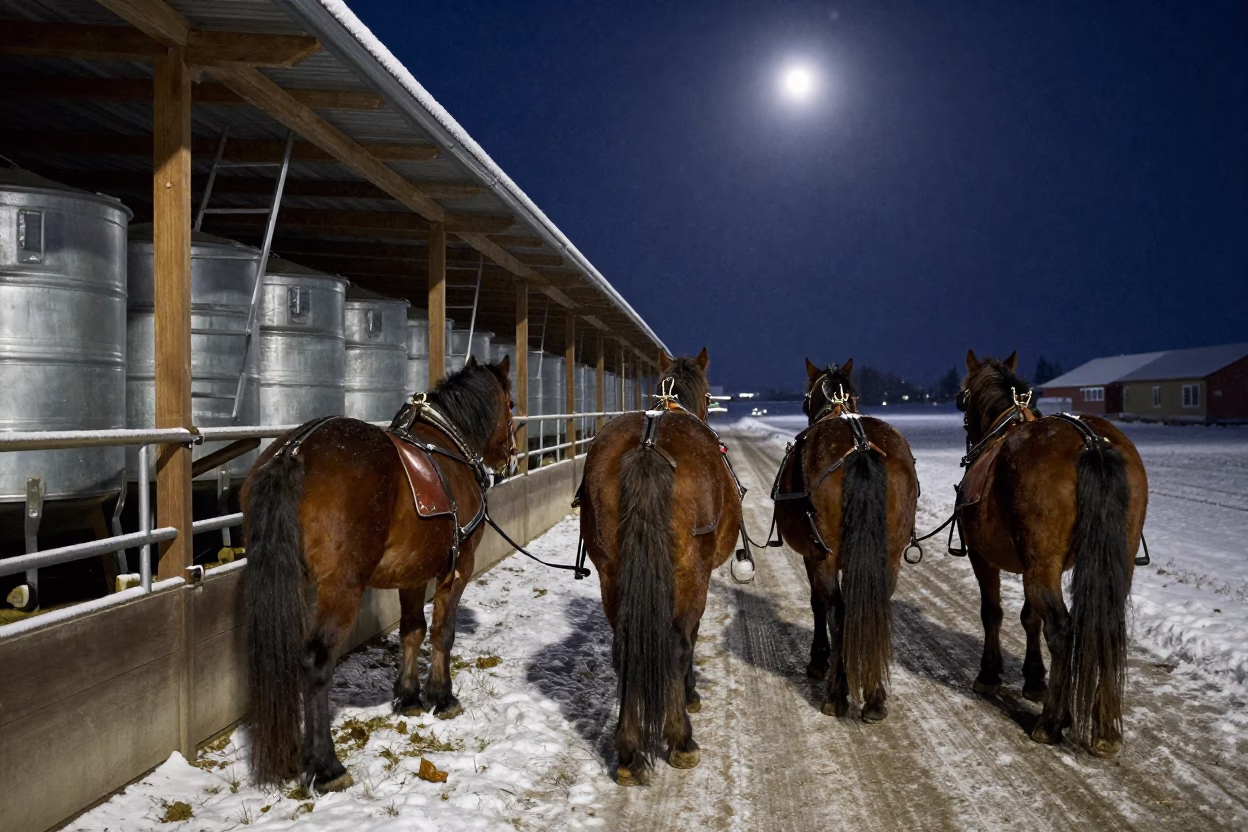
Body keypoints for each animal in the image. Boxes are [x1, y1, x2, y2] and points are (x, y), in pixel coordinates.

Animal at [240, 357, 516, 791]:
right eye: (511, 405)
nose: (511, 457)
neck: (449, 445)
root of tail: (295, 451)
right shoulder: (459, 567)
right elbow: (443, 631)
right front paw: (442, 696)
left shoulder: (412, 573)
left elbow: (413, 630)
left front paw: (409, 697)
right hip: (342, 587)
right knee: (316, 661)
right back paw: (327, 766)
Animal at [578, 348, 743, 785]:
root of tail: (649, 446)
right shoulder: (699, 578)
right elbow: (689, 639)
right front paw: (689, 694)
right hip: (689, 573)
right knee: (677, 644)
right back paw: (682, 739)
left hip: (611, 573)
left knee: (625, 647)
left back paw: (628, 750)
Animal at [772, 359, 919, 722]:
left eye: (804, 401)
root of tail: (860, 447)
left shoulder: (812, 555)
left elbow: (818, 604)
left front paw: (818, 660)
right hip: (888, 555)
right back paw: (875, 697)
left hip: (825, 555)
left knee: (837, 610)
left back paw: (836, 694)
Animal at [955, 350, 1148, 756]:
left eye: (962, 399)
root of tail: (1091, 442)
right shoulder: (1036, 563)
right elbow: (1029, 618)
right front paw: (1034, 679)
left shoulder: (985, 558)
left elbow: (993, 613)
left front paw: (990, 674)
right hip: (1109, 564)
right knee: (1107, 628)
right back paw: (1105, 728)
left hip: (1039, 566)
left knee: (1061, 630)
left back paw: (1051, 722)